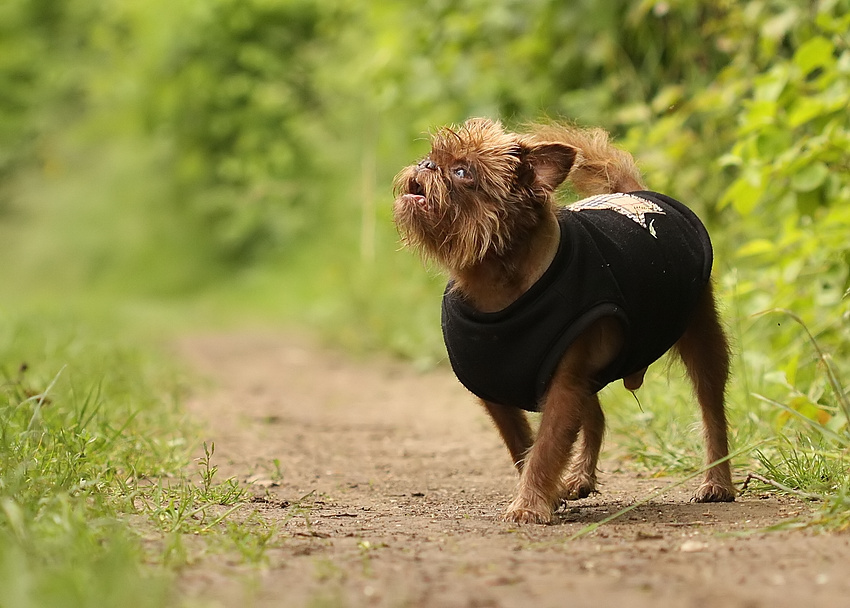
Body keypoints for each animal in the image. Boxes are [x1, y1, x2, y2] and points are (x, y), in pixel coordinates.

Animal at [394, 117, 732, 524]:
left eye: (462, 172)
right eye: (431, 157)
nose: (425, 164)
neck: (499, 285)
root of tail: (635, 192)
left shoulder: (564, 385)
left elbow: (546, 446)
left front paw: (528, 505)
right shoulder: (501, 393)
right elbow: (524, 446)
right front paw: (546, 496)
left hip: (701, 337)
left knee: (712, 408)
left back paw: (718, 483)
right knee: (596, 416)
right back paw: (581, 478)